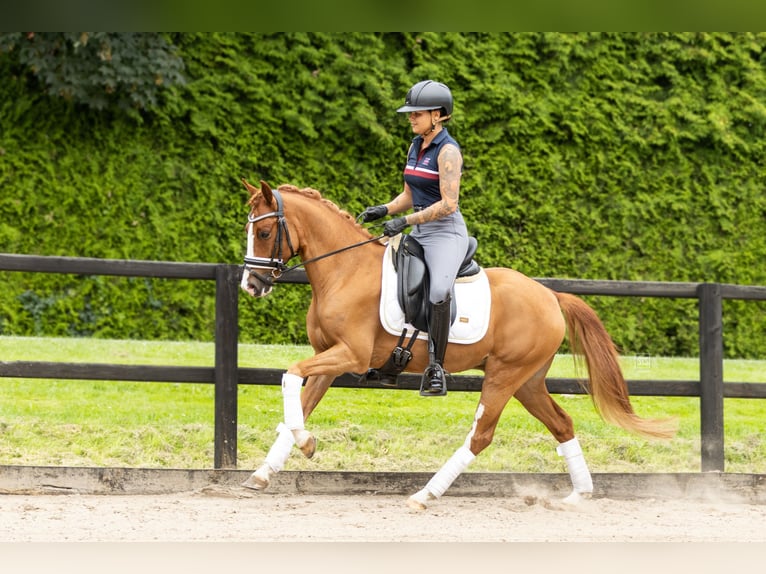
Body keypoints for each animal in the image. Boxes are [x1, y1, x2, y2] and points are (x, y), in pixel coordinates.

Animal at [237, 178, 676, 510]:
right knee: (562, 423)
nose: (251, 285)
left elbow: (290, 375)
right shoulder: (327, 359)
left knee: (480, 436)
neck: (345, 270)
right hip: (528, 382)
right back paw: (577, 495)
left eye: (264, 232)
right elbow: (299, 402)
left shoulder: (350, 355)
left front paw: (306, 444)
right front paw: (265, 471)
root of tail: (550, 296)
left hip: (504, 376)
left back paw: (425, 494)